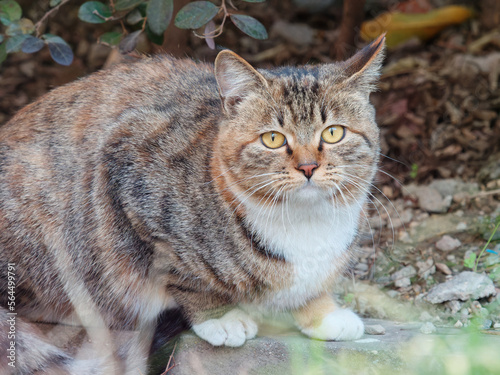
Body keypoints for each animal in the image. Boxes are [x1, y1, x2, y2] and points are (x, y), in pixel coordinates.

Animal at [0, 33, 386, 374]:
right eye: (273, 139)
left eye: (333, 133)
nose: (308, 167)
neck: (305, 223)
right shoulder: (128, 165)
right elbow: (182, 274)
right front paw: (220, 316)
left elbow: (311, 287)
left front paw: (323, 312)